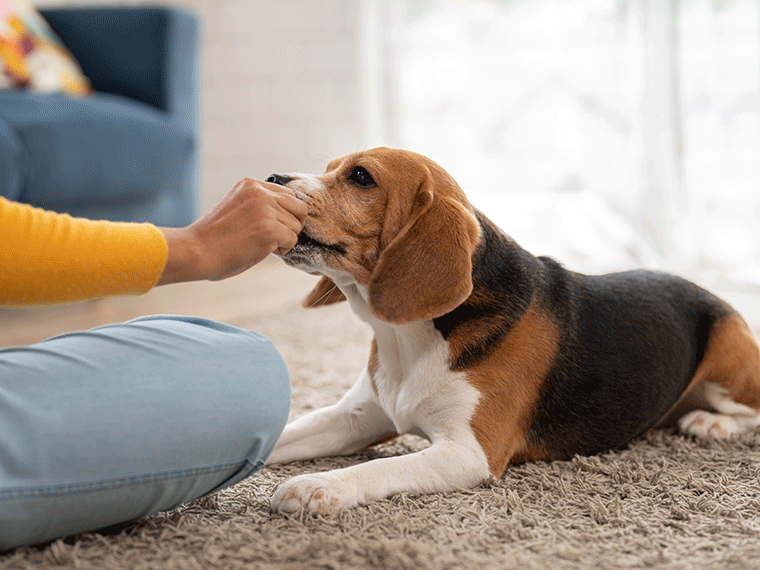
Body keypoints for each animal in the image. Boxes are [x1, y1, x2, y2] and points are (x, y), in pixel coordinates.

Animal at [266, 149, 760, 512]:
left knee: (749, 410)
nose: (272, 178)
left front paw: (317, 485)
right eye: (329, 168)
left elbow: (381, 469)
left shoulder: (470, 453)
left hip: (728, 359)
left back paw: (710, 422)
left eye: (361, 177)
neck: (406, 339)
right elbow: (285, 434)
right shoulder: (353, 417)